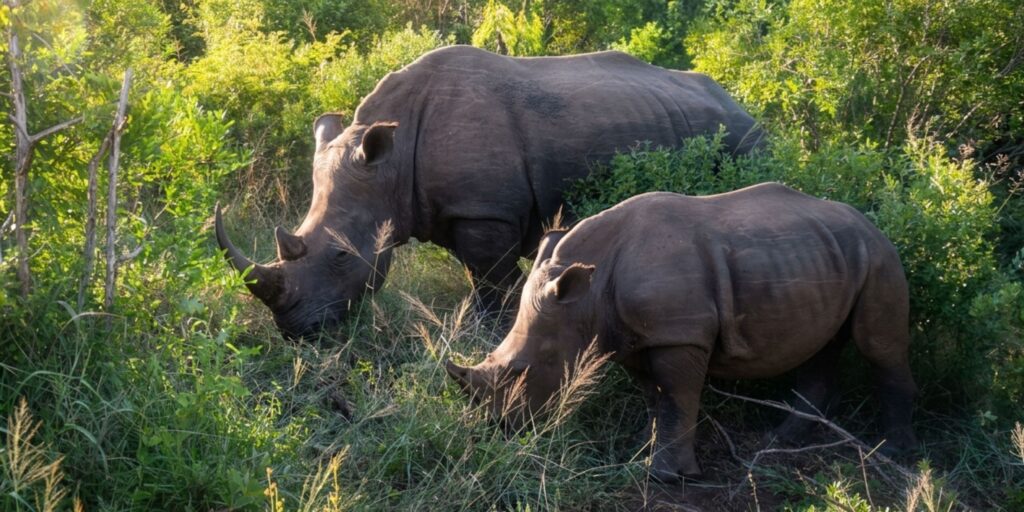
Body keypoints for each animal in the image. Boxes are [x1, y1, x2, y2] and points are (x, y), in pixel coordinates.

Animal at [216, 45, 763, 339]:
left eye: (341, 257)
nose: (297, 332)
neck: (391, 158)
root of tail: (738, 101)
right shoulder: (457, 210)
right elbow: (481, 277)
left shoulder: (484, 212)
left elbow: (490, 279)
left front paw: (492, 329)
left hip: (742, 136)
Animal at [445, 183, 917, 480]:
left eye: (523, 371)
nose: (500, 428)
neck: (589, 297)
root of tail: (871, 222)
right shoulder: (632, 337)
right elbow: (654, 399)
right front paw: (643, 450)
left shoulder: (679, 333)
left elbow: (676, 397)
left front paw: (667, 476)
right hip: (826, 256)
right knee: (820, 350)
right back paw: (780, 440)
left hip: (878, 256)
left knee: (880, 348)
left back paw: (893, 453)